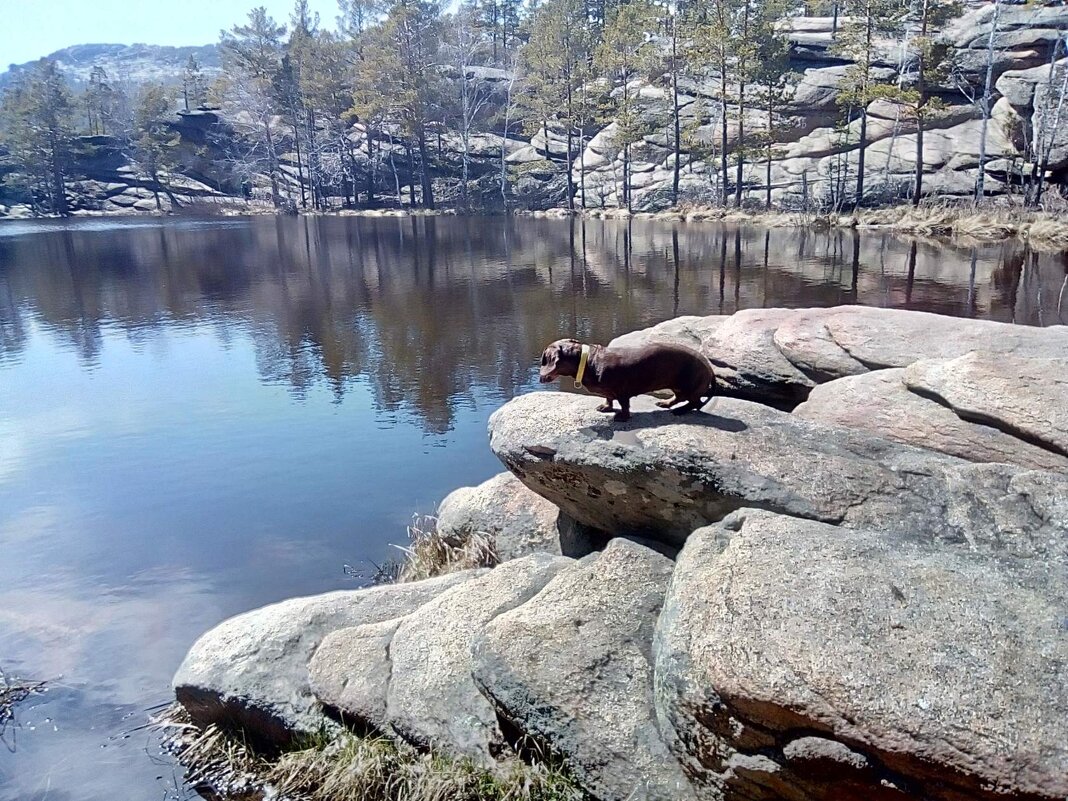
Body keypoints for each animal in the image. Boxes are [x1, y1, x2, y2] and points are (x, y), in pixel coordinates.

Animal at [538, 339, 713, 427]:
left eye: (544, 359)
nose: (539, 378)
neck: (589, 361)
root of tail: (710, 368)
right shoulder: (610, 392)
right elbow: (608, 398)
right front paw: (606, 407)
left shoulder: (622, 391)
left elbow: (624, 405)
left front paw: (622, 417)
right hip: (678, 386)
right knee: (682, 399)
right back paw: (665, 403)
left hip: (689, 387)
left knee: (694, 403)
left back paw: (679, 410)